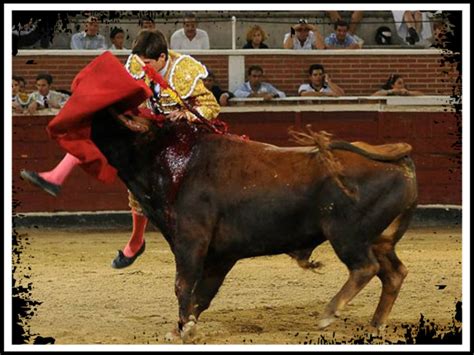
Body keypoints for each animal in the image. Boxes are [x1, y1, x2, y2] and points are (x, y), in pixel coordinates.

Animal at [90, 112, 418, 344]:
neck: (178, 160)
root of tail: (397, 155)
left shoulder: (190, 241)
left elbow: (184, 284)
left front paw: (184, 329)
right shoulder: (221, 255)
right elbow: (203, 293)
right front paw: (182, 327)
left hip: (347, 235)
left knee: (366, 267)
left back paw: (329, 313)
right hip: (378, 239)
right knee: (394, 273)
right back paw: (376, 324)